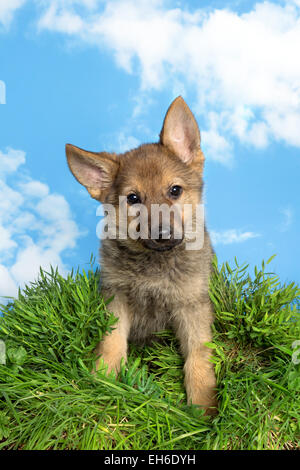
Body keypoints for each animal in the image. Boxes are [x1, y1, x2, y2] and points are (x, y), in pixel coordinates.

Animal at [65, 96, 218, 414]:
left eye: (175, 190)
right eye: (134, 198)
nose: (161, 233)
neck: (154, 265)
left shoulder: (192, 306)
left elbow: (198, 356)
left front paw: (202, 408)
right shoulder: (116, 298)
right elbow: (111, 343)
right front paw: (102, 382)